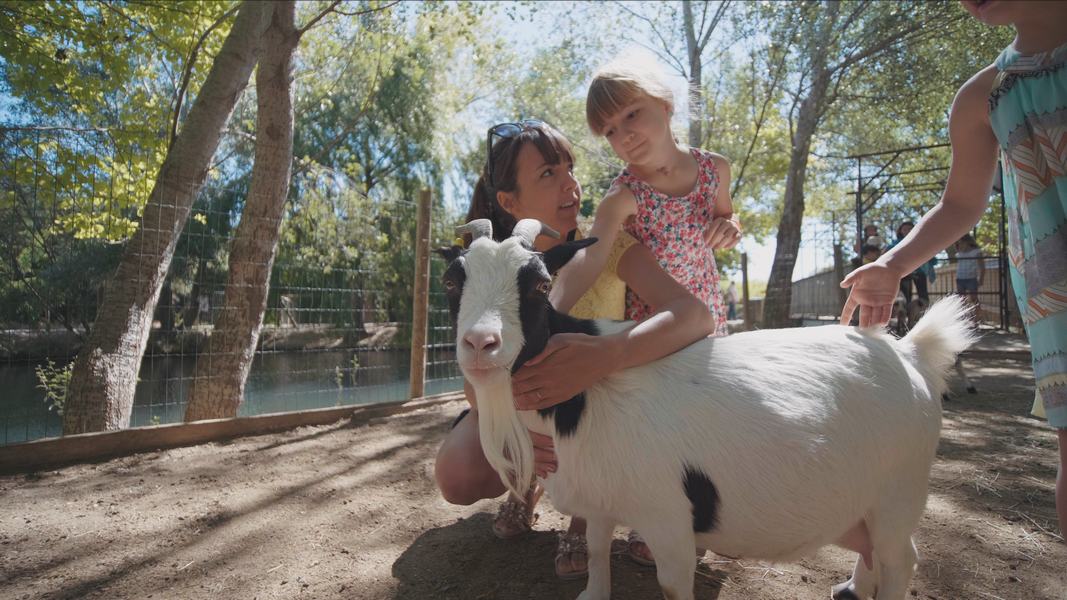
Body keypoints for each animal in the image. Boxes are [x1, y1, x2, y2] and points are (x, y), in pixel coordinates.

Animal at [439, 215, 977, 597]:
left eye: (540, 284)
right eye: (450, 283)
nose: (481, 344)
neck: (588, 397)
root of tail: (910, 352)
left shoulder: (669, 519)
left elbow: (671, 585)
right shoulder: (603, 501)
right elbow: (594, 552)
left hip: (899, 492)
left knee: (900, 559)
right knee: (873, 552)